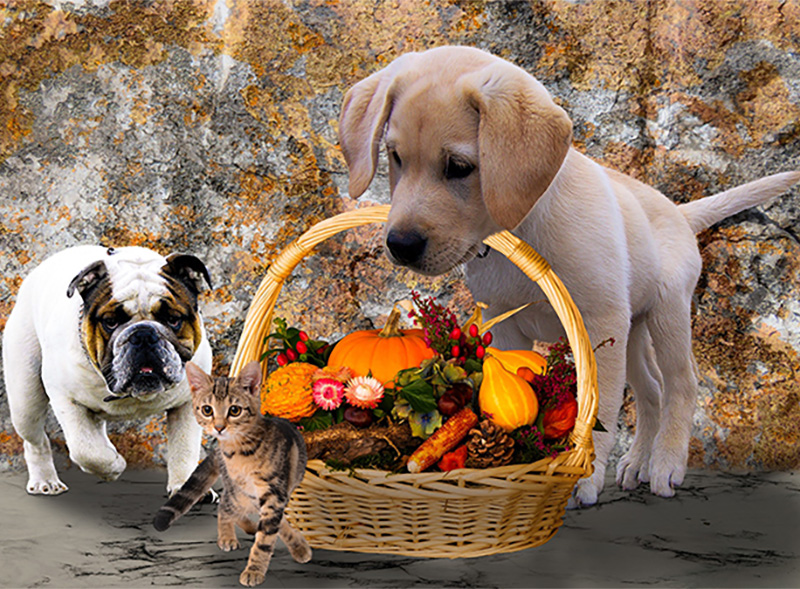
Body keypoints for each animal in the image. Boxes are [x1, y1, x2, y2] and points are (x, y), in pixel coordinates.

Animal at [154, 358, 312, 584]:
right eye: (207, 410)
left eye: (235, 410)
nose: (219, 427)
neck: (239, 452)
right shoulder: (254, 493)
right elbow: (266, 527)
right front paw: (255, 568)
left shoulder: (274, 493)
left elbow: (268, 535)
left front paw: (256, 567)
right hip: (238, 492)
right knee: (225, 506)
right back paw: (228, 535)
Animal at [338, 46, 800, 506]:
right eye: (395, 157)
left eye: (459, 166)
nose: (400, 245)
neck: (522, 232)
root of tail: (678, 211)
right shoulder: (508, 325)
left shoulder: (599, 322)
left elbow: (600, 408)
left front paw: (583, 477)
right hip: (632, 329)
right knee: (651, 390)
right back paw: (636, 463)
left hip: (666, 314)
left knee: (682, 384)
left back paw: (666, 465)